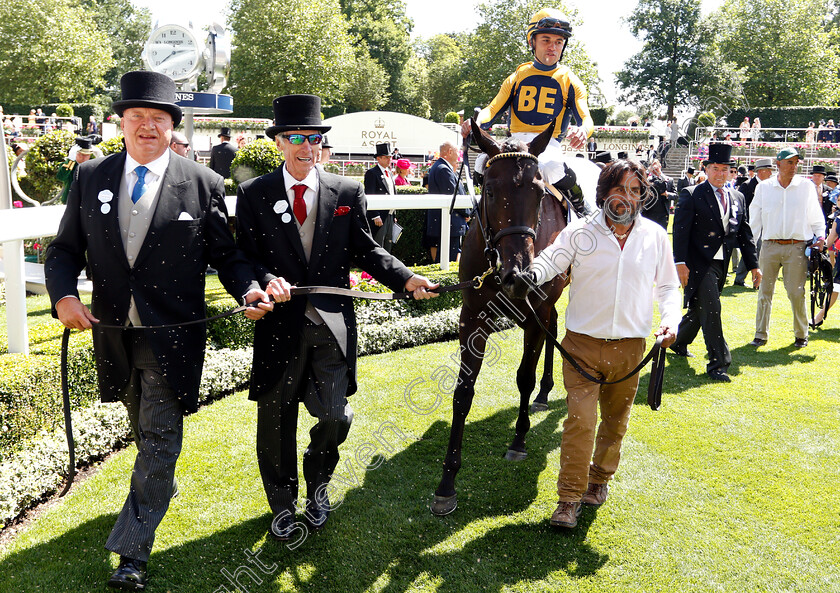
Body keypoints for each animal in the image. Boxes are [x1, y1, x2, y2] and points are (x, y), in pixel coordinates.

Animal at [430, 119, 576, 512]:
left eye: (539, 193)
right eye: (490, 191)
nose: (520, 275)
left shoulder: (535, 309)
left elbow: (524, 376)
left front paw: (519, 441)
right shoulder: (473, 317)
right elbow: (463, 392)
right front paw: (447, 481)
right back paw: (544, 393)